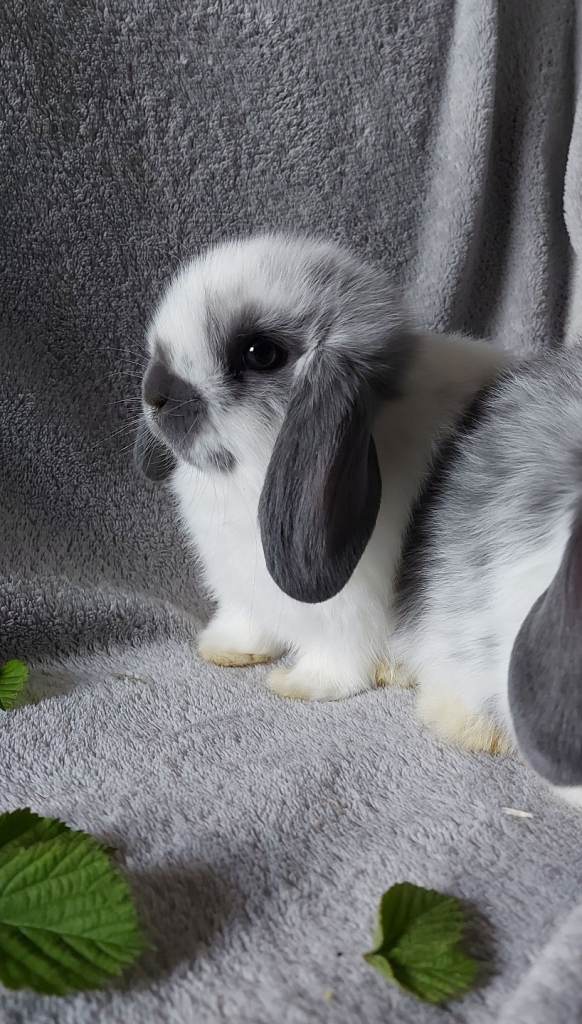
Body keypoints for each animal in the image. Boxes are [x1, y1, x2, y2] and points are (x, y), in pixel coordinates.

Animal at [134, 233, 507, 703]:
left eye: (260, 353)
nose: (155, 394)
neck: (246, 480)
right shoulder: (243, 593)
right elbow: (246, 623)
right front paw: (227, 651)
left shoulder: (347, 615)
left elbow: (339, 659)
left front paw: (298, 684)